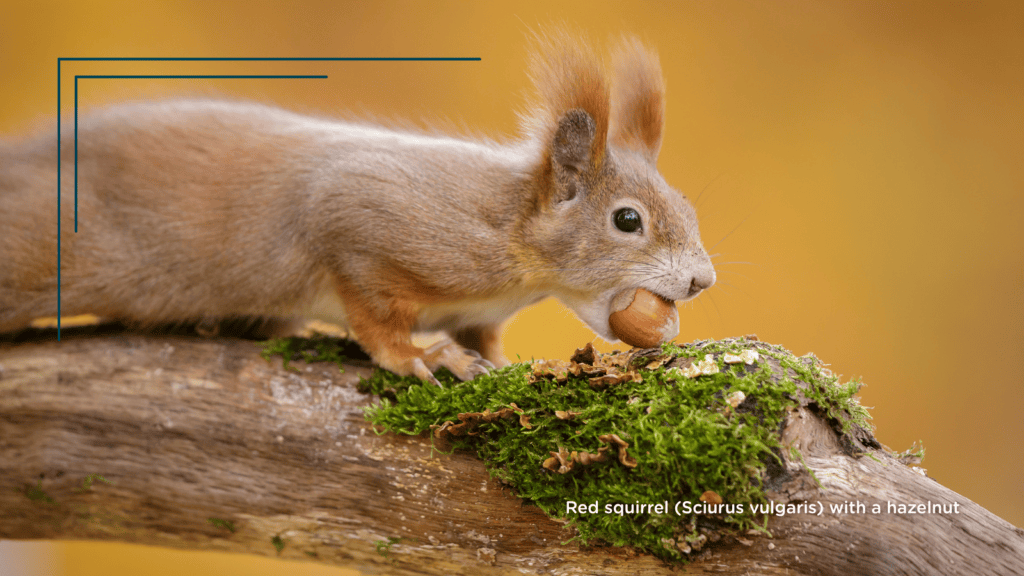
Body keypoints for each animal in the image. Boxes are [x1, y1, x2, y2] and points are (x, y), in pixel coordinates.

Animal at [0, 32, 715, 385]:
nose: (702, 280)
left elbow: (483, 336)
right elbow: (371, 310)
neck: (509, 228)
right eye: (628, 220)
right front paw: (421, 358)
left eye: (685, 202)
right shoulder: (365, 221)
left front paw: (502, 361)